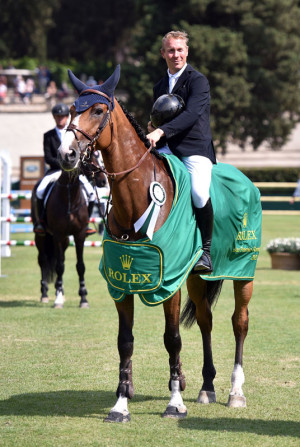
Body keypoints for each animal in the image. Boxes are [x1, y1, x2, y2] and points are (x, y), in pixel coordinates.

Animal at [31, 152, 106, 310]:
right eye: (89, 158)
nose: (103, 181)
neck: (70, 195)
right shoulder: (58, 235)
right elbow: (59, 267)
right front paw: (58, 299)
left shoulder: (79, 235)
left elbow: (80, 266)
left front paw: (83, 298)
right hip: (41, 236)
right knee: (43, 261)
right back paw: (45, 294)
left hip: (65, 240)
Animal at [58, 65, 260, 422]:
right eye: (70, 109)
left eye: (97, 110)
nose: (66, 154)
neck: (134, 199)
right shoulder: (122, 283)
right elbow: (125, 341)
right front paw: (120, 404)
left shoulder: (170, 284)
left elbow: (172, 339)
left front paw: (174, 402)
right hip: (196, 278)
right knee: (206, 321)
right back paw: (207, 387)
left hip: (242, 273)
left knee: (239, 322)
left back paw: (235, 391)